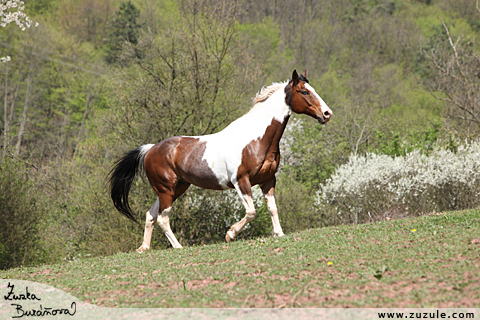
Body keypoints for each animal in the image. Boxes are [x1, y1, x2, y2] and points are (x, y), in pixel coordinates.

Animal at [109, 70, 332, 252]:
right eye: (304, 92)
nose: (327, 113)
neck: (256, 139)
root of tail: (150, 149)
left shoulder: (268, 180)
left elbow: (272, 208)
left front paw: (279, 234)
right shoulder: (241, 181)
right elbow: (251, 211)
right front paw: (230, 234)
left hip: (175, 188)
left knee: (151, 215)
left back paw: (144, 248)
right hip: (166, 189)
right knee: (163, 218)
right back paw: (178, 246)